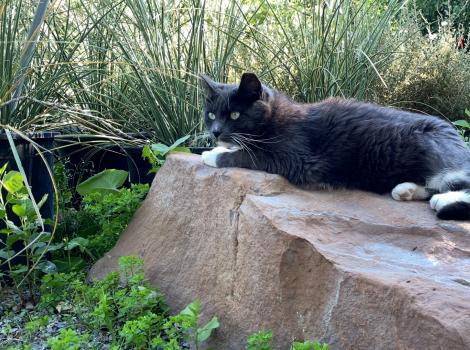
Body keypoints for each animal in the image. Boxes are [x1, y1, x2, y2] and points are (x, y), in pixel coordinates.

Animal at [200, 72, 470, 220]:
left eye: (235, 115)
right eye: (211, 115)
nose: (216, 132)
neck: (275, 118)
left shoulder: (297, 157)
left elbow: (251, 155)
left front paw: (215, 154)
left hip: (435, 150)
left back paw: (443, 200)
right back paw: (406, 189)